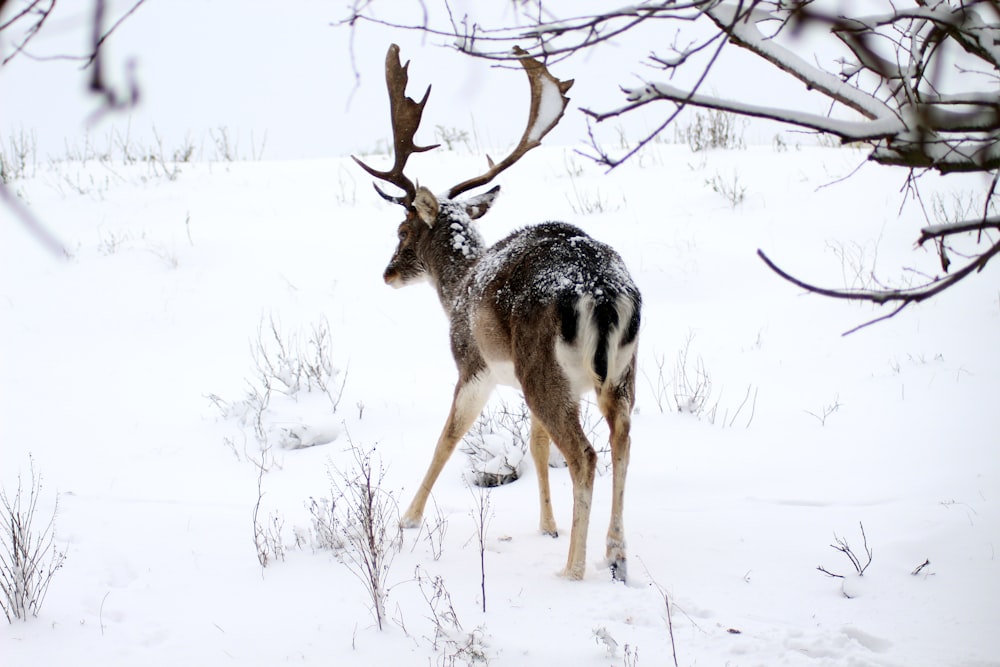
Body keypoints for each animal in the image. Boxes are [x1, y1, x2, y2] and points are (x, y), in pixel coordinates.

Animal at [356, 44, 644, 580]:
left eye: (403, 230)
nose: (388, 273)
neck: (457, 286)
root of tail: (601, 291)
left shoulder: (474, 365)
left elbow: (447, 437)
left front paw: (408, 518)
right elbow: (535, 443)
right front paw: (547, 525)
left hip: (542, 368)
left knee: (585, 455)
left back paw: (573, 569)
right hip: (619, 373)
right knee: (622, 442)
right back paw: (615, 555)